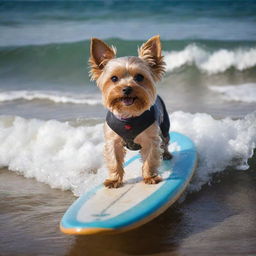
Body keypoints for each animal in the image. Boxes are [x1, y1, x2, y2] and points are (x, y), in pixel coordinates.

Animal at [89, 35, 171, 188]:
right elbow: (114, 160)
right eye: (114, 78)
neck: (129, 115)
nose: (127, 88)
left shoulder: (151, 138)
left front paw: (149, 177)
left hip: (165, 126)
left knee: (165, 140)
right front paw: (114, 180)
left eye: (139, 77)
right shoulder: (112, 140)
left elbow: (150, 158)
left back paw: (167, 154)